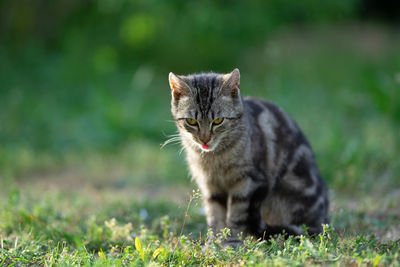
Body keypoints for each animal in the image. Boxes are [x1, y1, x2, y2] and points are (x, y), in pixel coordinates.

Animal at [168, 68, 328, 247]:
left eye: (218, 121)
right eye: (191, 121)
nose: (204, 139)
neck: (215, 158)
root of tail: (322, 220)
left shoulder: (247, 182)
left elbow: (236, 216)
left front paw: (232, 242)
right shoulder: (210, 186)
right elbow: (215, 217)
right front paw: (213, 244)